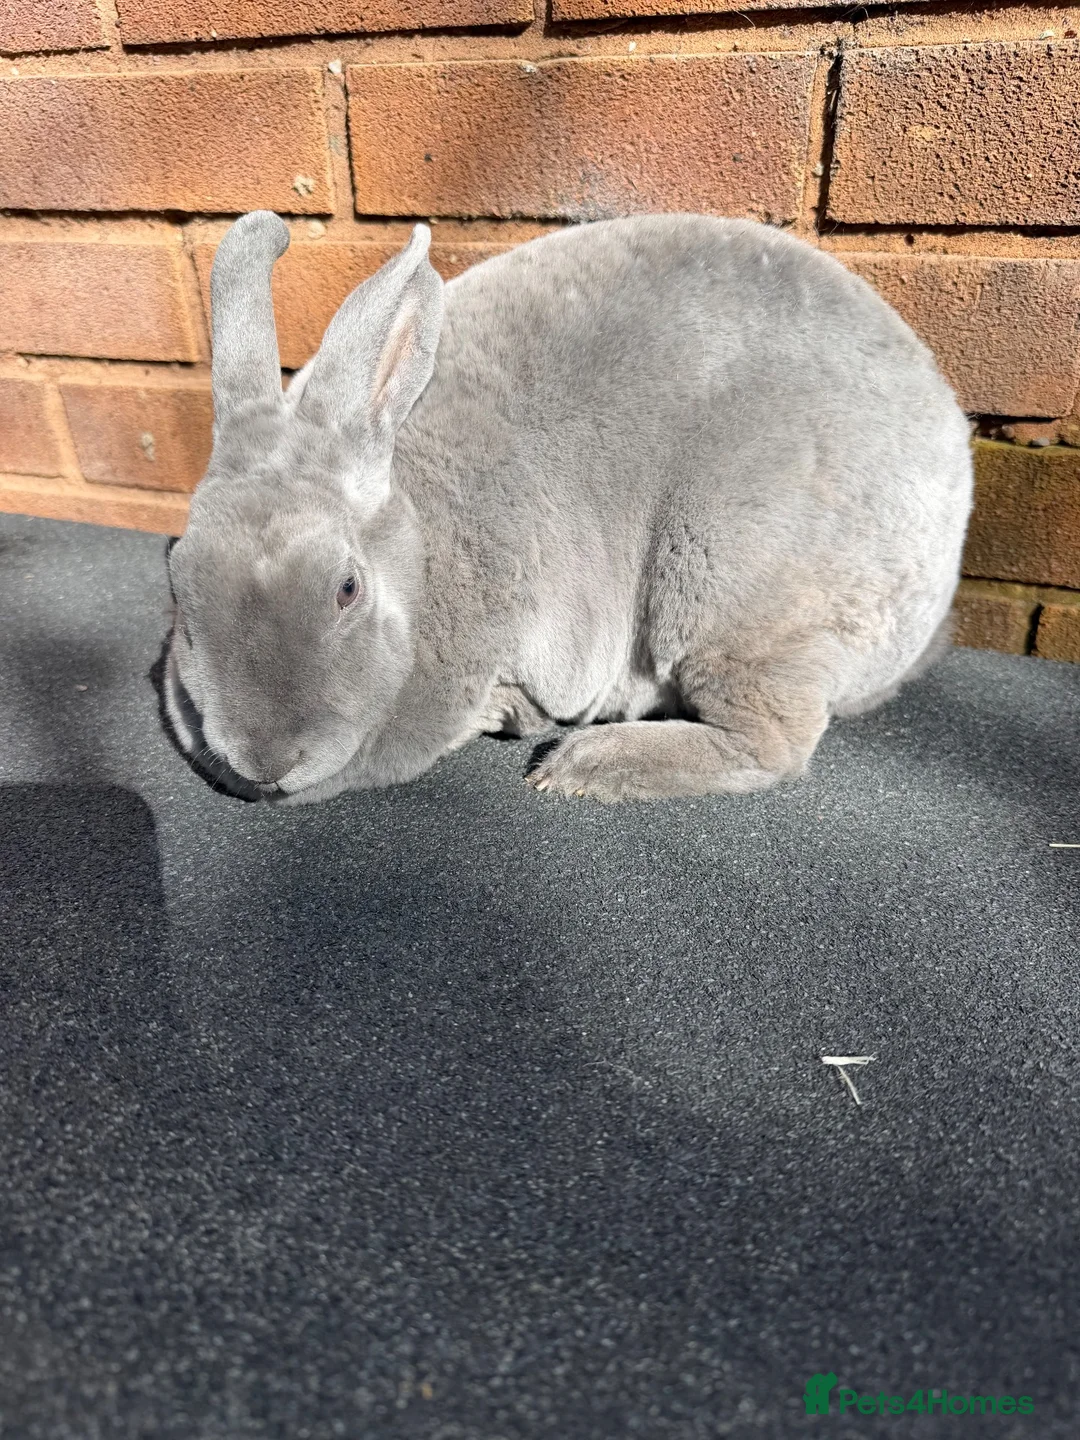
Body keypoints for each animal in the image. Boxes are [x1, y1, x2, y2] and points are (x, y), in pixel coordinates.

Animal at [164, 210, 972, 805]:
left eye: (346, 588)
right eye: (177, 582)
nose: (264, 760)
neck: (424, 551)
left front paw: (515, 718)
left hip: (735, 586)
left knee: (774, 743)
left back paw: (584, 765)